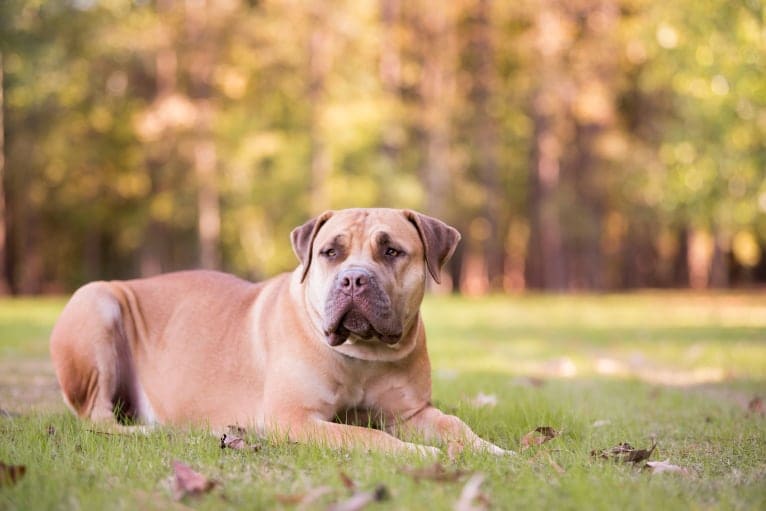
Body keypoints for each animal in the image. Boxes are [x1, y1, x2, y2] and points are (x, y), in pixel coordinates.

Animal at [51, 208, 512, 456]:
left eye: (392, 251)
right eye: (330, 252)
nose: (354, 280)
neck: (364, 355)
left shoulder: (412, 413)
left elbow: (455, 426)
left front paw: (493, 450)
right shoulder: (294, 418)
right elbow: (364, 436)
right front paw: (418, 452)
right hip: (96, 302)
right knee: (97, 416)